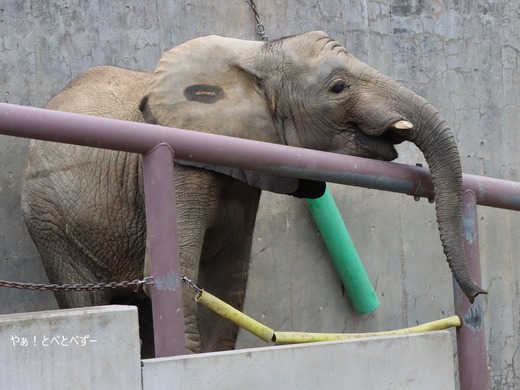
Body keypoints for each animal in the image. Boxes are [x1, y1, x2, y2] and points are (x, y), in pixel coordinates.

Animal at [19, 32, 484, 358]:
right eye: (338, 88)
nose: (479, 295)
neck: (256, 56)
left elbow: (226, 284)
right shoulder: (183, 159)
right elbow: (177, 274)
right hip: (48, 219)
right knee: (87, 298)